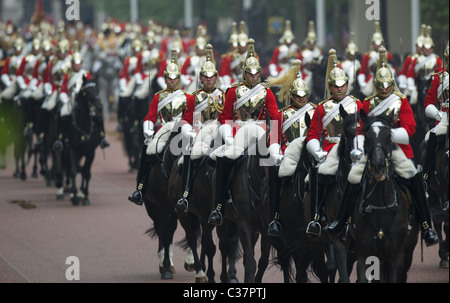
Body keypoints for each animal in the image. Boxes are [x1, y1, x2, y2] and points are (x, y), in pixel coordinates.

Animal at [350, 110, 420, 284]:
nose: (378, 167)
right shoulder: (364, 255)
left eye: (388, 136)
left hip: (408, 252)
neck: (379, 206)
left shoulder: (396, 256)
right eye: (367, 137)